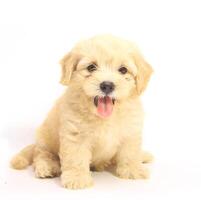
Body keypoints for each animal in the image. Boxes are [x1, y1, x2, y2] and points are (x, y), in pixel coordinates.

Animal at [10, 35, 152, 190]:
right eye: (91, 67)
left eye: (123, 70)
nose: (107, 85)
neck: (104, 118)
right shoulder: (75, 135)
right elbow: (76, 158)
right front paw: (77, 178)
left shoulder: (131, 131)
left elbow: (130, 152)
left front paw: (133, 170)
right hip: (45, 138)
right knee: (41, 154)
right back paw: (47, 167)